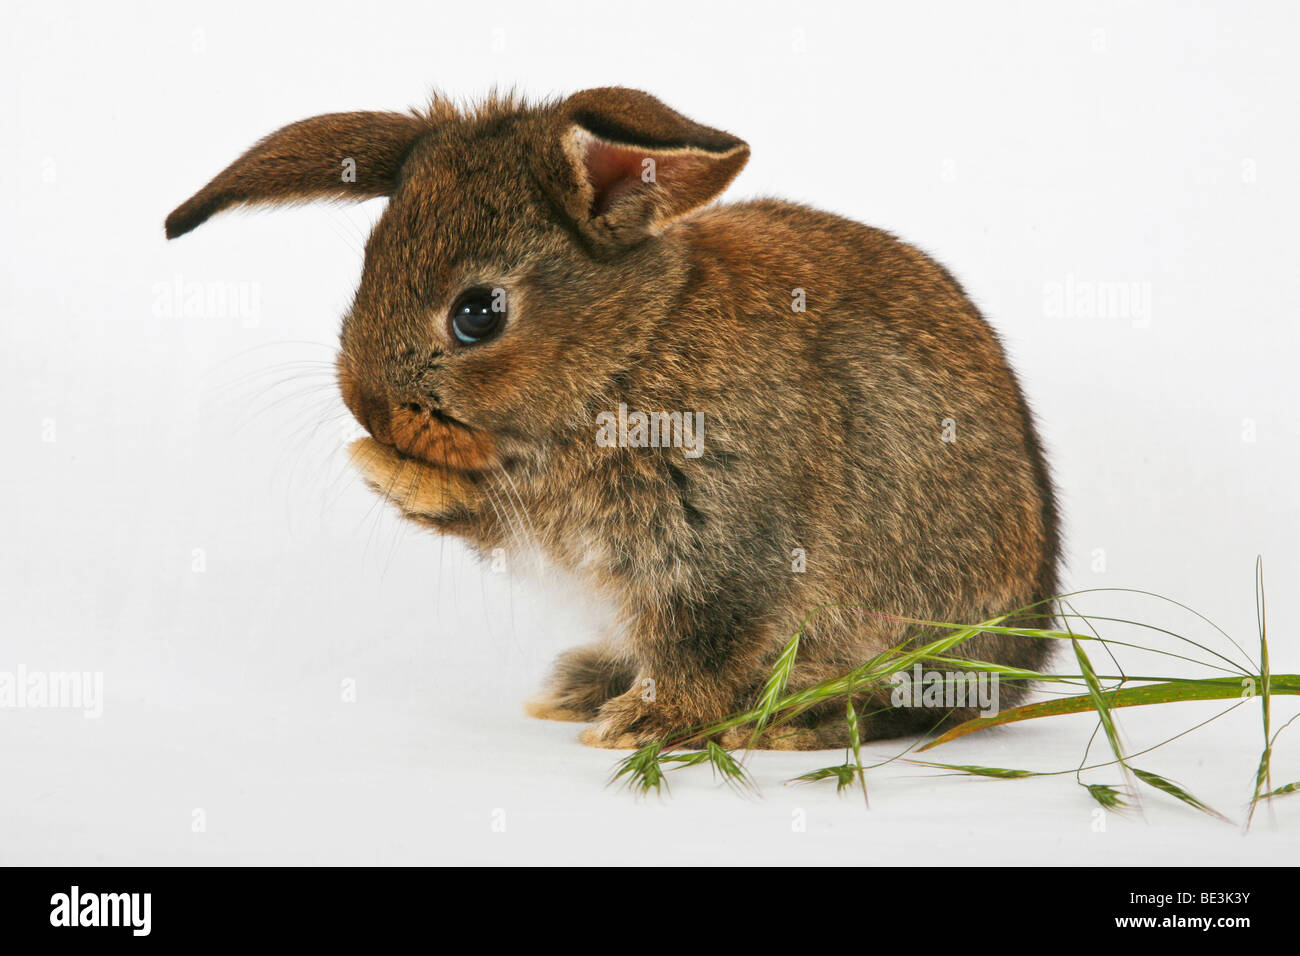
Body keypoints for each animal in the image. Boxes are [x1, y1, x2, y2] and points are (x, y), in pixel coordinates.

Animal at [165, 85, 1055, 749]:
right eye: (366, 262)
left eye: (478, 313)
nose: (368, 408)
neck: (627, 351)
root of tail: (1032, 647)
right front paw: (385, 468)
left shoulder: (719, 544)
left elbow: (703, 645)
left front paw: (647, 727)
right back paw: (581, 686)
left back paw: (794, 722)